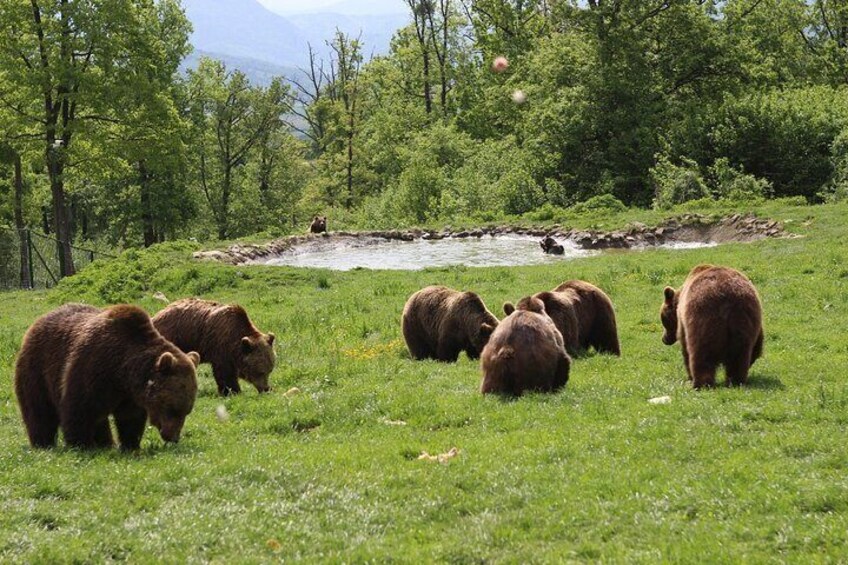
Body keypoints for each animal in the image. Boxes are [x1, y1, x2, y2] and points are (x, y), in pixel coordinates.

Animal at [14, 304, 200, 450]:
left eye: (187, 410)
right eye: (172, 408)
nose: (173, 437)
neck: (122, 371)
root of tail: (38, 321)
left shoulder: (129, 394)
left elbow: (130, 418)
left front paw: (130, 445)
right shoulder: (91, 367)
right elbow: (78, 408)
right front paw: (81, 444)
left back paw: (105, 443)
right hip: (37, 368)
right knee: (39, 409)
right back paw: (43, 443)